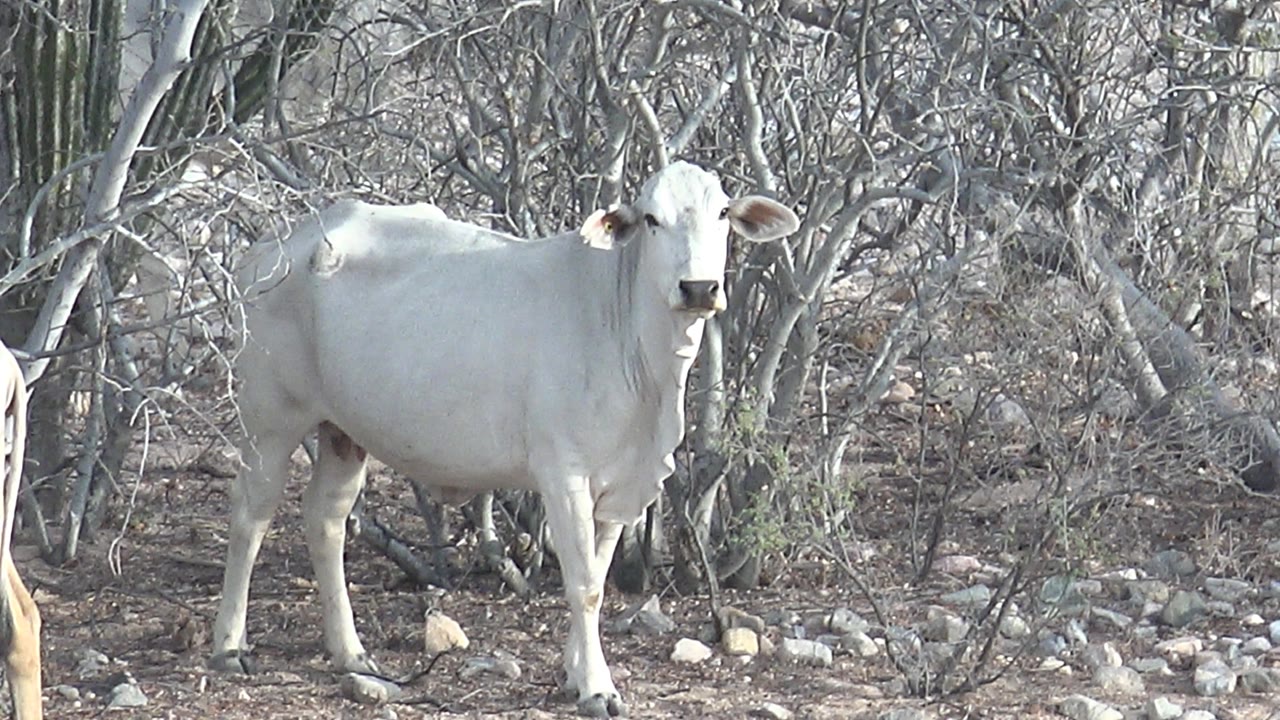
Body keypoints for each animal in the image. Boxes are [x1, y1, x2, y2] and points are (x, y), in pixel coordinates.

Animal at [210, 162, 800, 717]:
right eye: (653, 220)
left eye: (722, 213)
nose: (699, 289)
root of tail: (276, 244)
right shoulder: (563, 474)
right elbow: (583, 583)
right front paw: (597, 688)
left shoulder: (619, 484)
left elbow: (598, 572)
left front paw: (574, 673)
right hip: (270, 416)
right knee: (251, 514)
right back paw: (230, 646)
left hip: (343, 431)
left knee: (326, 519)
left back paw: (350, 651)